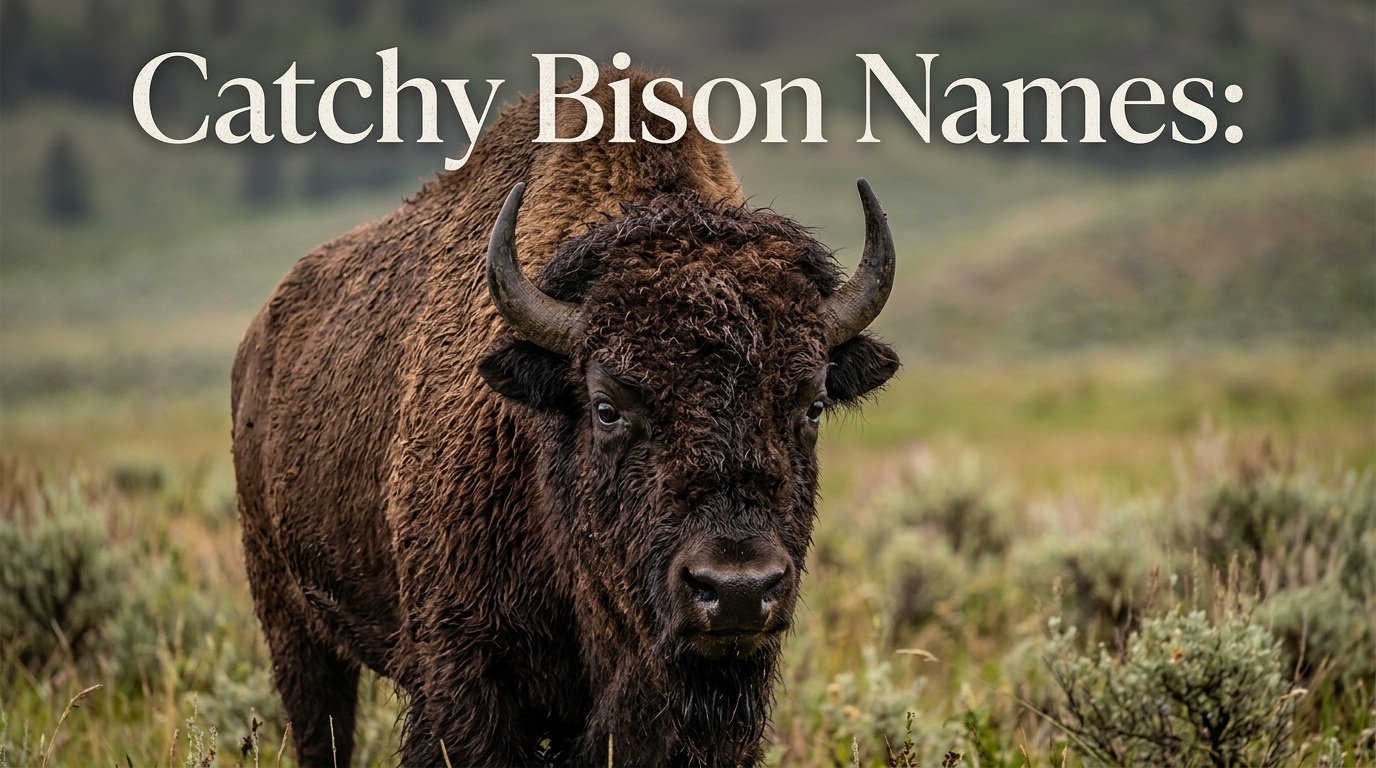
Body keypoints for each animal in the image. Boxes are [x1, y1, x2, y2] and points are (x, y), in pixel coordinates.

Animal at [231, 68, 899, 766]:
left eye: (813, 405)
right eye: (606, 408)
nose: (737, 588)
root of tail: (257, 343)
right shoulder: (466, 674)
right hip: (290, 615)